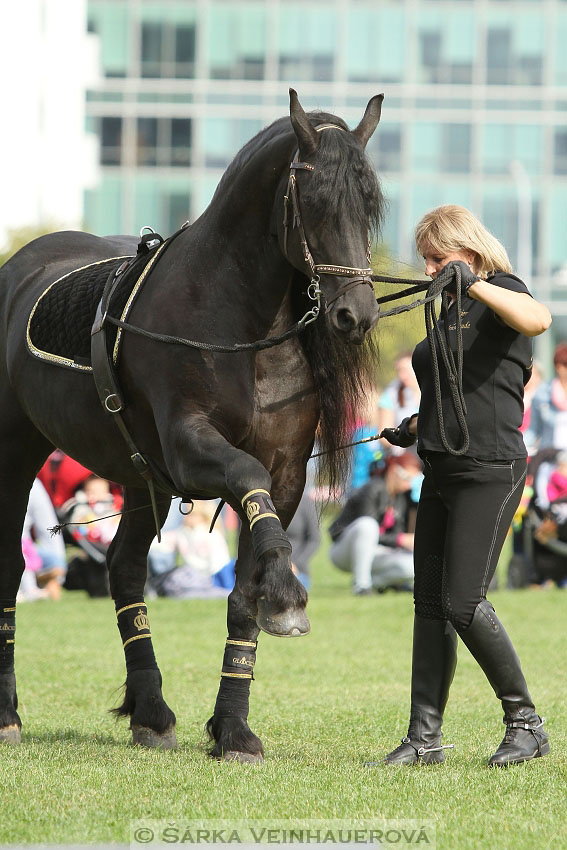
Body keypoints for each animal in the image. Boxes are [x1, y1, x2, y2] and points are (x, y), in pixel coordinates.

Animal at [0, 89, 386, 760]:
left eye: (369, 203)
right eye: (314, 200)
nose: (354, 315)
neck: (237, 321)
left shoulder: (286, 474)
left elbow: (244, 595)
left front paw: (233, 727)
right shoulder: (189, 446)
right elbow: (246, 477)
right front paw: (287, 593)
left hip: (137, 473)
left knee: (125, 567)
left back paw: (151, 710)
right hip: (15, 449)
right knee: (8, 568)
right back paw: (8, 713)